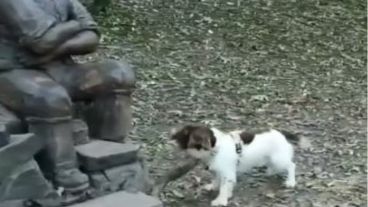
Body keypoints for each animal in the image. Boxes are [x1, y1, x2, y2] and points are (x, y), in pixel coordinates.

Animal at [171, 125, 300, 206]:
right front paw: (215, 188)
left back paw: (291, 181)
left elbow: (223, 188)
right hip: (270, 158)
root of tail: (282, 134)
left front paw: (221, 201)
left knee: (291, 165)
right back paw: (271, 171)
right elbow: (218, 181)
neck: (216, 148)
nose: (172, 136)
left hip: (279, 159)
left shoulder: (227, 173)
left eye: (185, 133)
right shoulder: (221, 171)